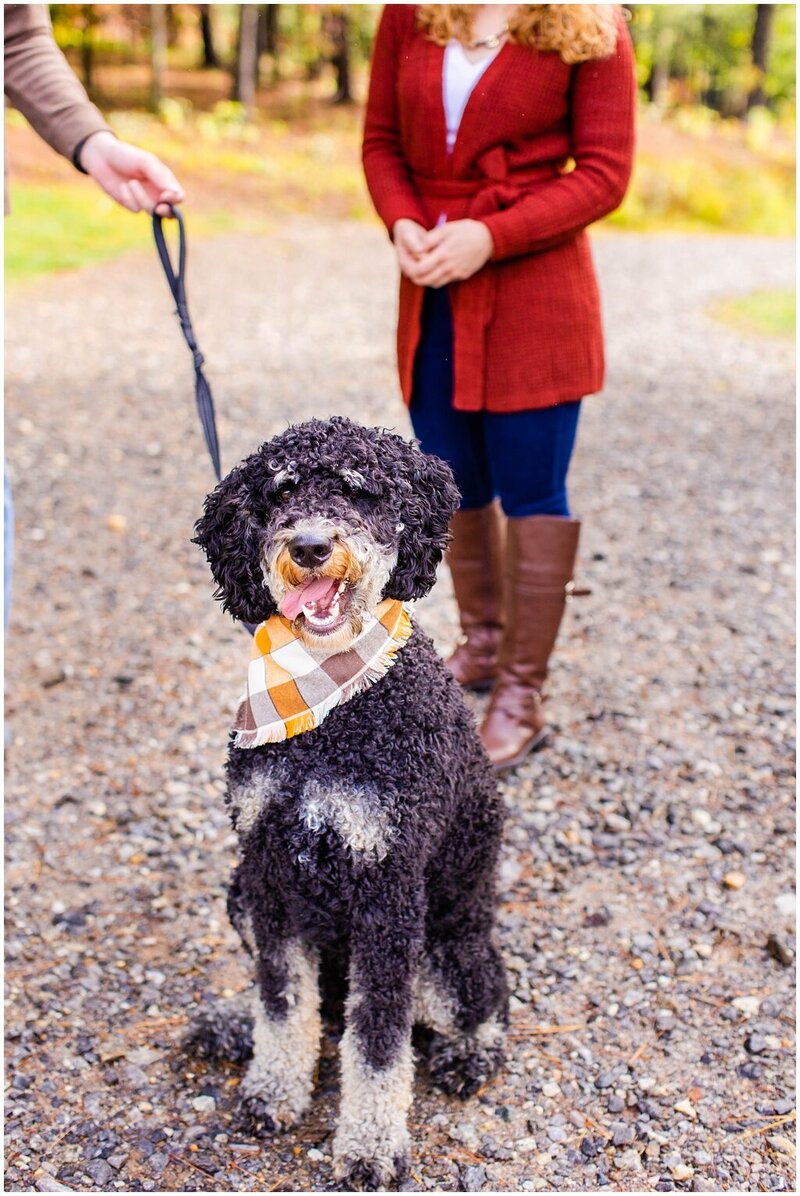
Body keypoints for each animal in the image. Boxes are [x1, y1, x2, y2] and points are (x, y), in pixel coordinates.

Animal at [188, 418, 504, 1186]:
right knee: (318, 1007)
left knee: (486, 995)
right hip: (238, 896)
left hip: (445, 950)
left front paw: (368, 1147)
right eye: (280, 493)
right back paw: (232, 1027)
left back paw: (473, 1051)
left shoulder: (386, 892)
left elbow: (380, 1041)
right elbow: (280, 999)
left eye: (359, 489)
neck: (329, 707)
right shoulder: (269, 873)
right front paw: (274, 1087)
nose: (308, 546)